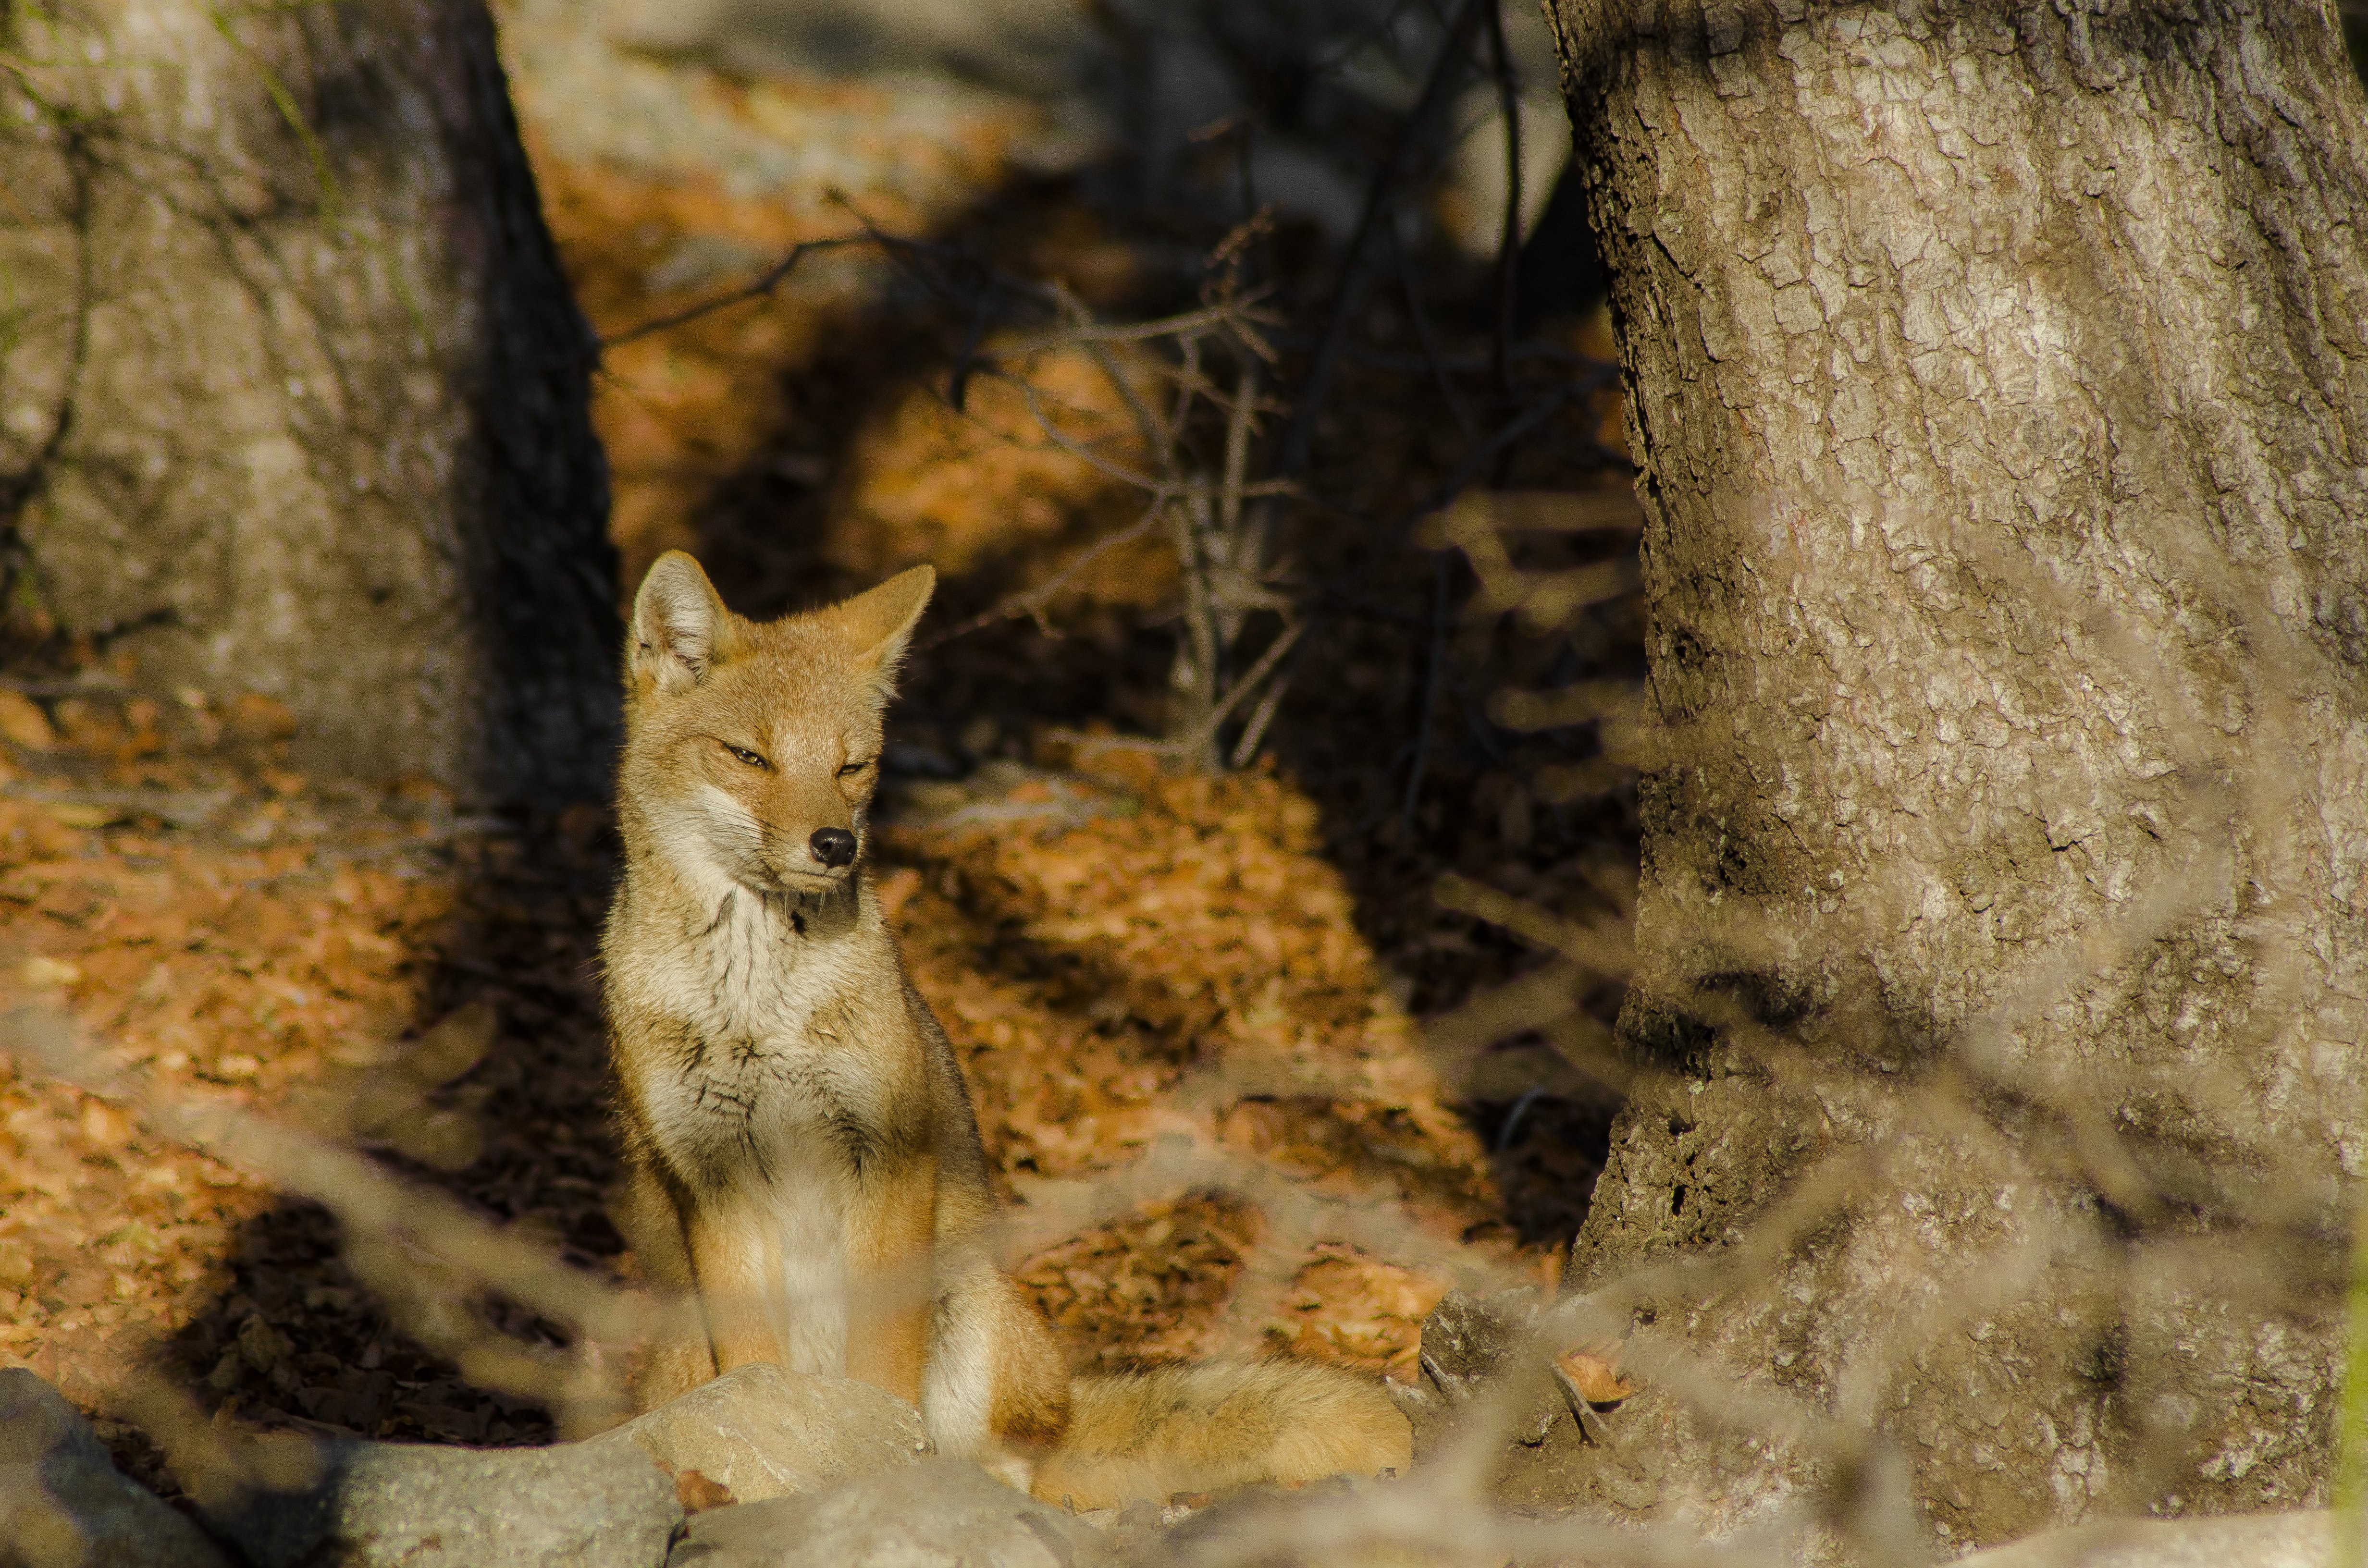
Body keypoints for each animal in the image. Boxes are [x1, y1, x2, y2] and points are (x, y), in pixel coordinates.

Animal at [600, 550, 1412, 1505]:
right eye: (749, 756)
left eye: (851, 766)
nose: (836, 844)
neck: (756, 1009)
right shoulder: (714, 1179)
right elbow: (757, 1379)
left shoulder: (889, 1156)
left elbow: (882, 1376)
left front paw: (883, 1471)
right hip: (686, 1341)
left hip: (970, 1300)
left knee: (1025, 1466)